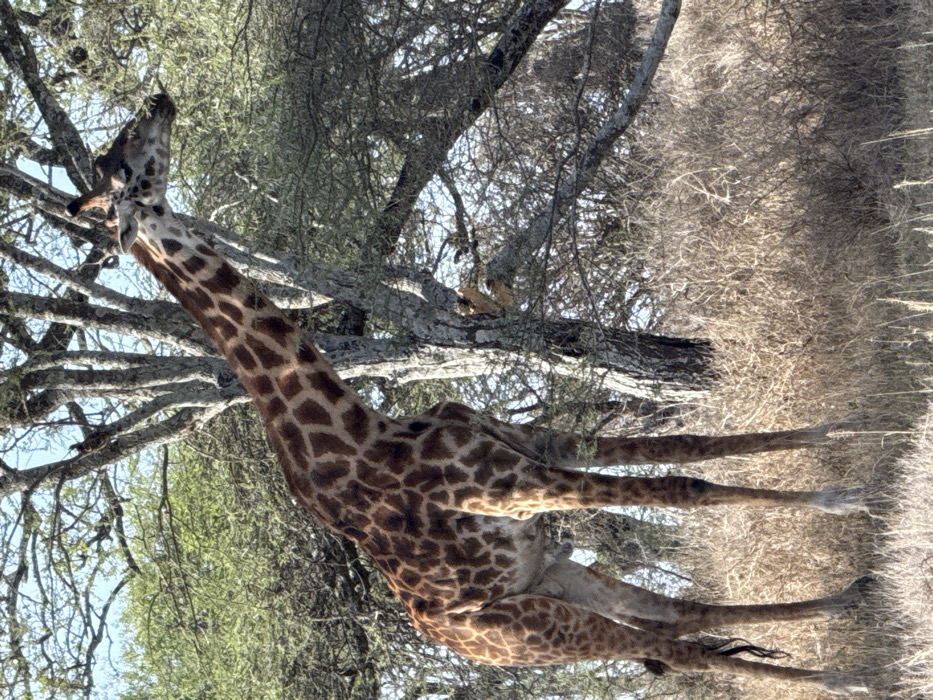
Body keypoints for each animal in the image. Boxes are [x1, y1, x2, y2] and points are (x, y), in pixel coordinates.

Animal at [66, 94, 871, 695]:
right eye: (126, 166)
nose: (159, 100)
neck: (361, 431)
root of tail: (461, 642)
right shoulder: (518, 485)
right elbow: (684, 486)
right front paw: (843, 493)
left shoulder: (532, 448)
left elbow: (687, 447)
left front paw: (840, 441)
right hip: (535, 625)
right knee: (675, 646)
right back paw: (844, 674)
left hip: (549, 577)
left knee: (679, 616)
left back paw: (844, 604)